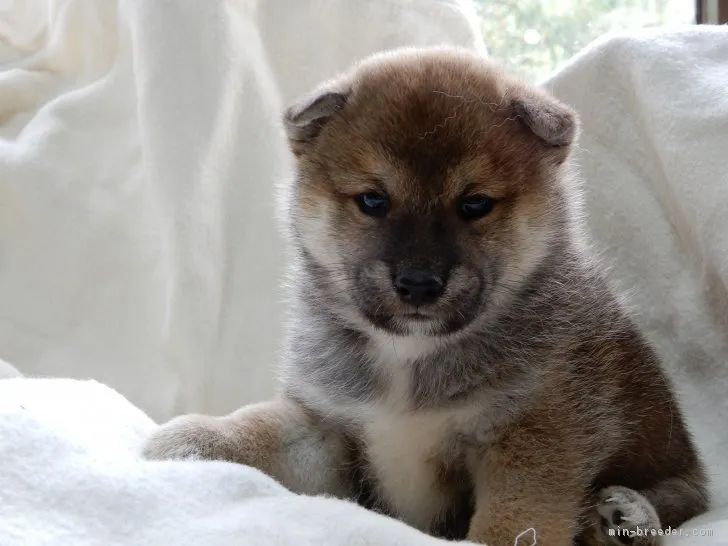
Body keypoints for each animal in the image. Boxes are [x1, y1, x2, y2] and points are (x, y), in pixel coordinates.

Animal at [145, 47, 708, 544]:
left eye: (475, 204)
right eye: (373, 200)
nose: (418, 283)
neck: (409, 357)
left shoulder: (533, 436)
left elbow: (513, 523)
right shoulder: (331, 425)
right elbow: (259, 425)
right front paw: (192, 439)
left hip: (671, 466)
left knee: (680, 501)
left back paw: (624, 515)